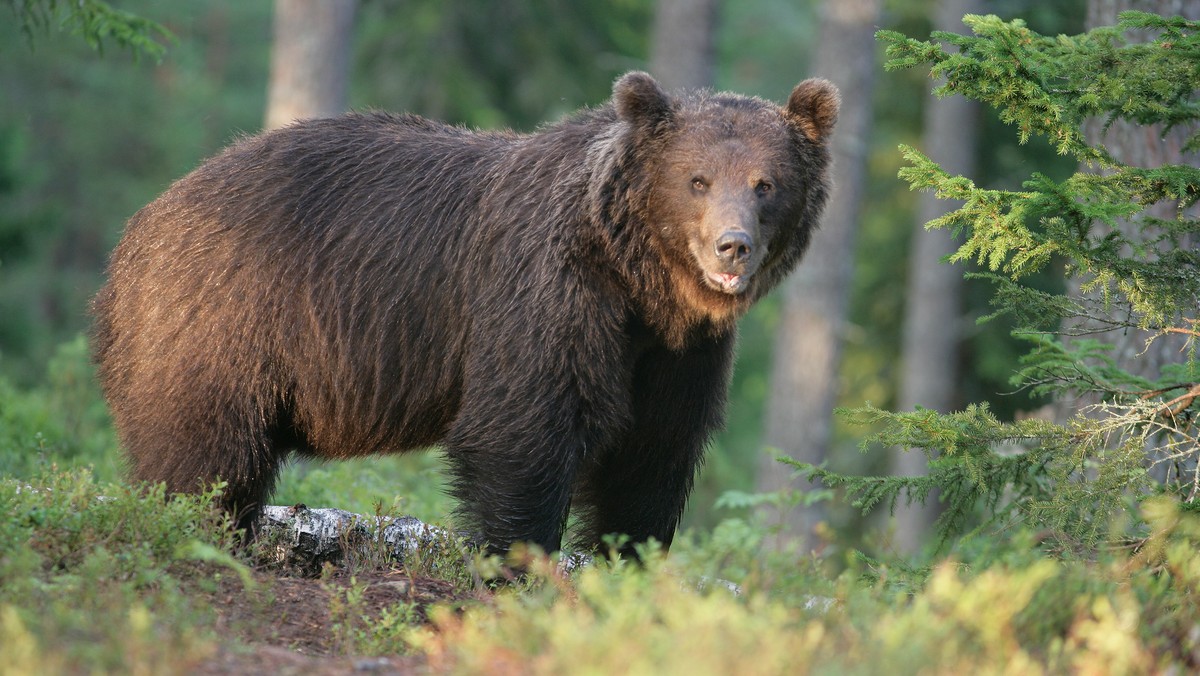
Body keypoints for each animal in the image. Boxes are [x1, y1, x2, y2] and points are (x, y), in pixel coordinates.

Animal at [88, 71, 840, 557]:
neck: (638, 282)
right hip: (223, 322)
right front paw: (521, 561)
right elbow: (522, 430)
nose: (732, 246)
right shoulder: (543, 295)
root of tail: (136, 232)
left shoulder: (677, 352)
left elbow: (652, 452)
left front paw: (628, 560)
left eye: (766, 184)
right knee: (203, 451)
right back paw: (200, 531)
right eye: (697, 180)